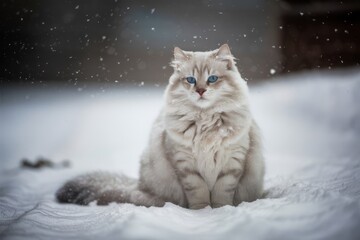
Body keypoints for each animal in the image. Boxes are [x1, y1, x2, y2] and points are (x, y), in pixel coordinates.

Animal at [56, 44, 264, 209]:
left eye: (212, 79)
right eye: (190, 80)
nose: (200, 91)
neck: (205, 119)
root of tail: (137, 186)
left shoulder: (232, 162)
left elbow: (222, 193)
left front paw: (221, 210)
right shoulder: (186, 164)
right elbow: (199, 192)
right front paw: (202, 210)